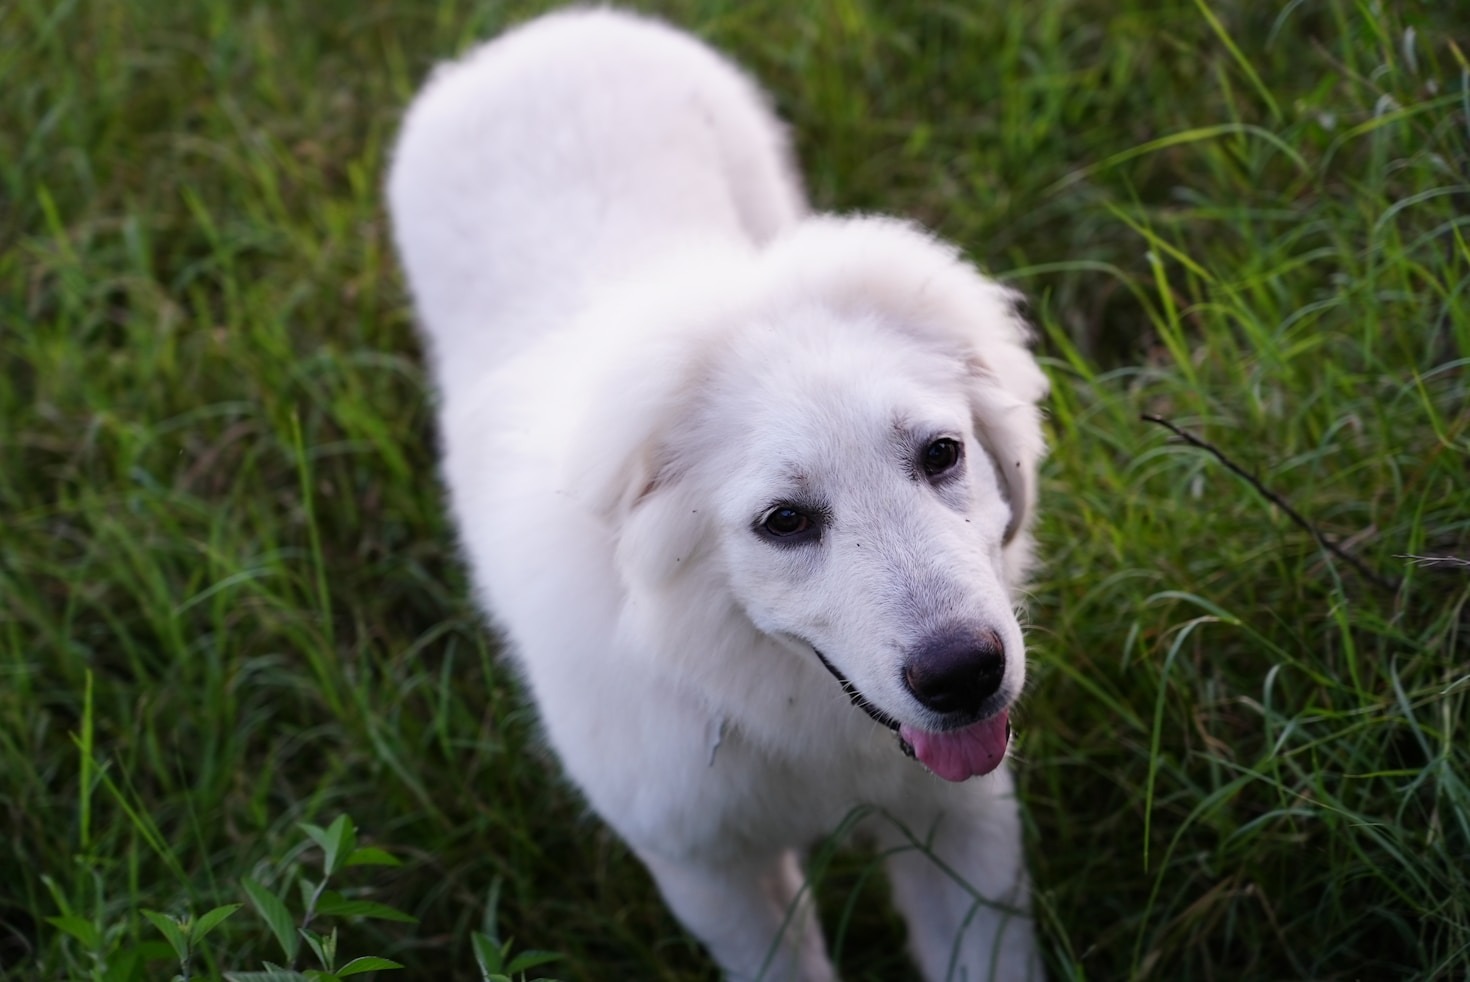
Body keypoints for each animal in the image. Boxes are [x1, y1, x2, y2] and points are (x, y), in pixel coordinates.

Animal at [388, 9, 1046, 982]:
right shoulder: (710, 875)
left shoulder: (959, 821)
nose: (966, 675)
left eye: (941, 455)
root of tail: (540, 32)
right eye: (784, 522)